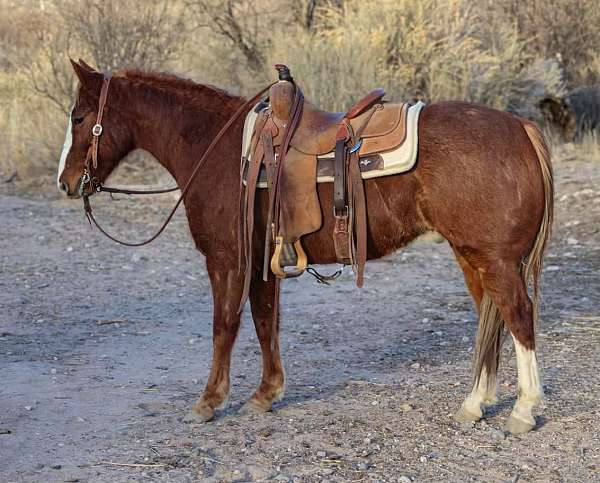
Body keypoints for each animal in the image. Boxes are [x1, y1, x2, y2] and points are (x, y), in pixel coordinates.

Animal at [57, 59, 552, 434]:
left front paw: (209, 402)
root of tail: (522, 127)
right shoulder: (261, 261)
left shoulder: (227, 261)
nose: (66, 182)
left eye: (79, 117)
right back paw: (475, 404)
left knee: (518, 317)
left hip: (497, 261)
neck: (216, 148)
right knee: (491, 318)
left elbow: (224, 327)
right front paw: (266, 394)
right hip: (471, 257)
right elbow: (265, 324)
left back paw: (524, 410)